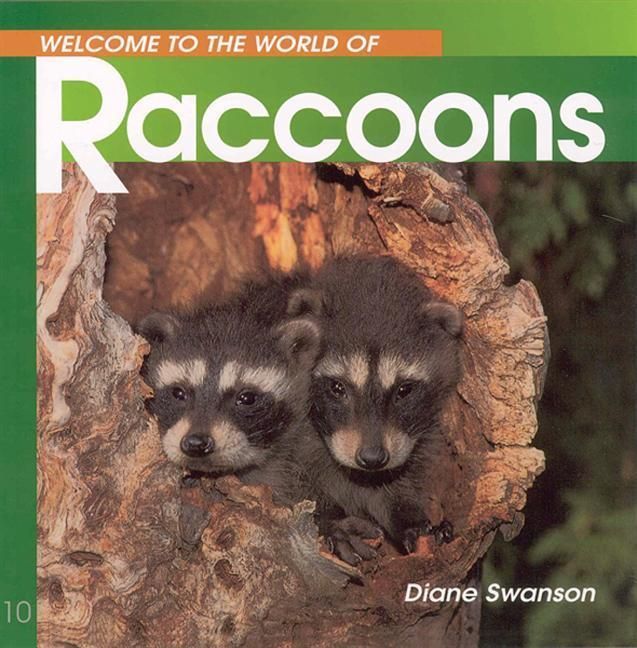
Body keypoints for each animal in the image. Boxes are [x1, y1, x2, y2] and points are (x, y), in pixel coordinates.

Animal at [292, 255, 463, 563]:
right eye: (337, 387)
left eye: (404, 390)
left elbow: (393, 484)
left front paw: (410, 518)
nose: (372, 458)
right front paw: (329, 519)